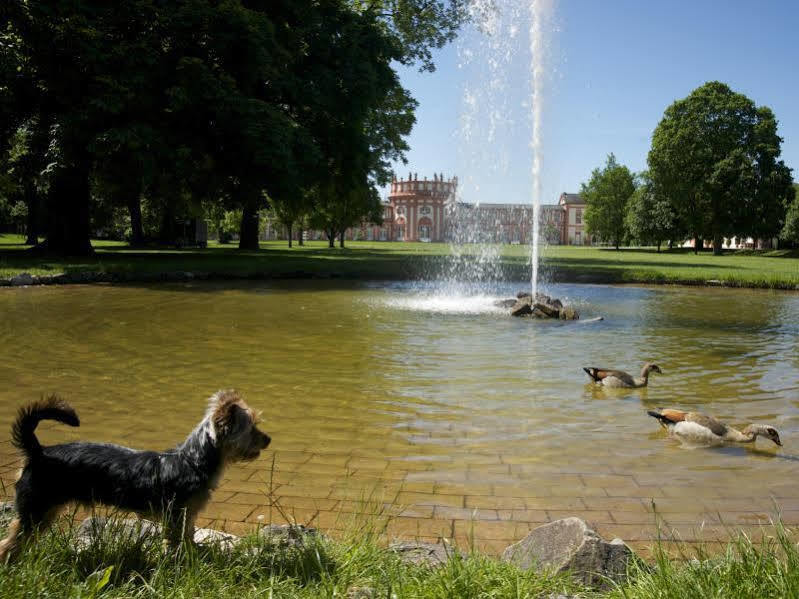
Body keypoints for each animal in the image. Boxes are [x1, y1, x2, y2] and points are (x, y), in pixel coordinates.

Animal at [0, 390, 272, 564]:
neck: (193, 461)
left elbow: (187, 537)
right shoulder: (175, 516)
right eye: (252, 428)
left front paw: (193, 556)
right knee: (9, 544)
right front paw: (178, 564)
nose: (268, 439)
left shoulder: (187, 515)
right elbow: (174, 542)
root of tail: (38, 452)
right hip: (36, 508)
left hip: (45, 511)